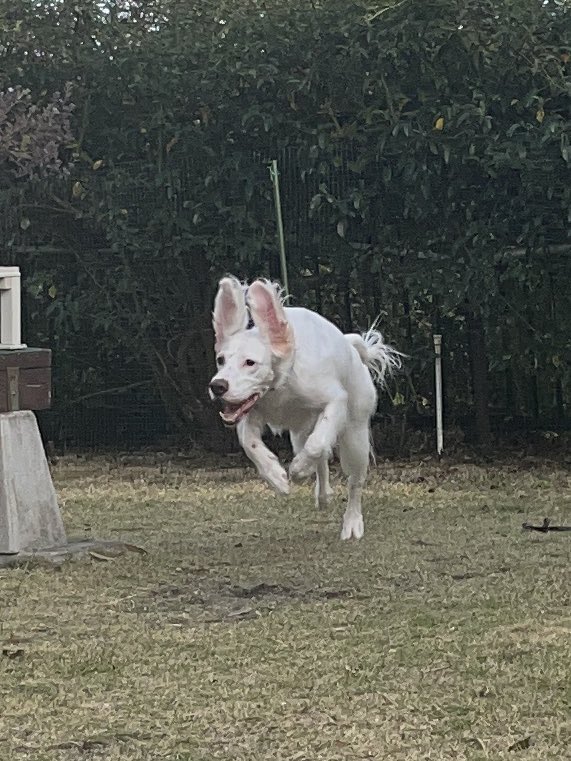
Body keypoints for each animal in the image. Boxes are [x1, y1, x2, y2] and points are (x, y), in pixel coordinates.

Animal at [208, 276, 402, 539]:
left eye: (250, 362)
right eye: (221, 360)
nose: (217, 386)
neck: (281, 386)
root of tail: (352, 348)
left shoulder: (335, 400)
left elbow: (317, 444)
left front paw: (298, 469)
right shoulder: (250, 412)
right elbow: (250, 443)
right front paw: (276, 477)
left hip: (355, 438)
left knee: (354, 481)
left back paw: (352, 522)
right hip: (299, 433)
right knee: (321, 460)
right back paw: (323, 494)